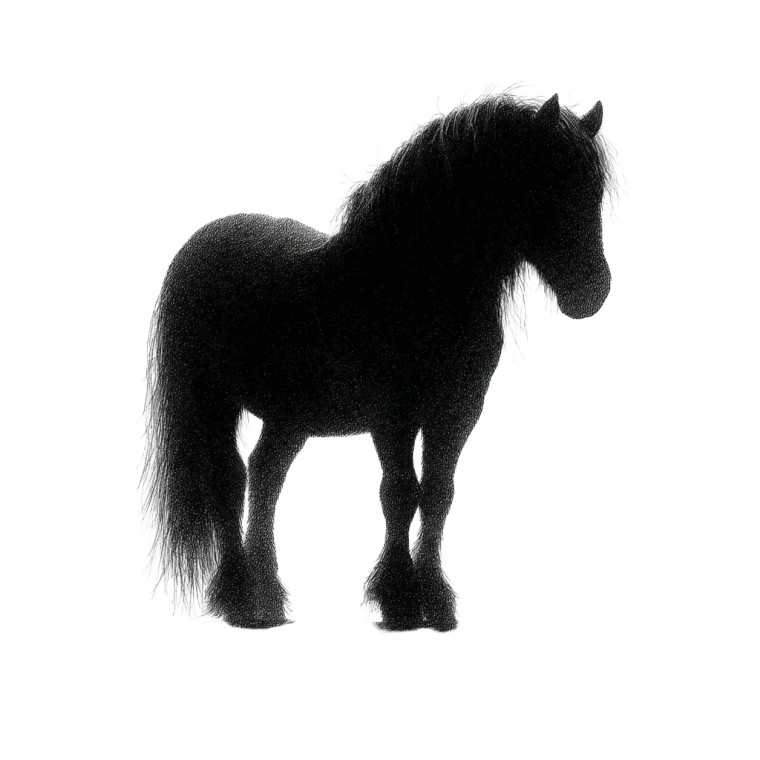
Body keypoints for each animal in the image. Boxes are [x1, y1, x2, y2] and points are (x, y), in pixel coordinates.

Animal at [145, 92, 612, 631]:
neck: (408, 280)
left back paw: (271, 600)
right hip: (213, 401)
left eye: (595, 190)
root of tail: (200, 242)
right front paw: (400, 601)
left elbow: (438, 495)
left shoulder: (458, 413)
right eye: (548, 184)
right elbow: (400, 494)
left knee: (265, 478)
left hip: (289, 418)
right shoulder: (394, 416)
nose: (592, 291)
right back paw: (242, 602)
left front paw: (437, 602)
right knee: (229, 481)